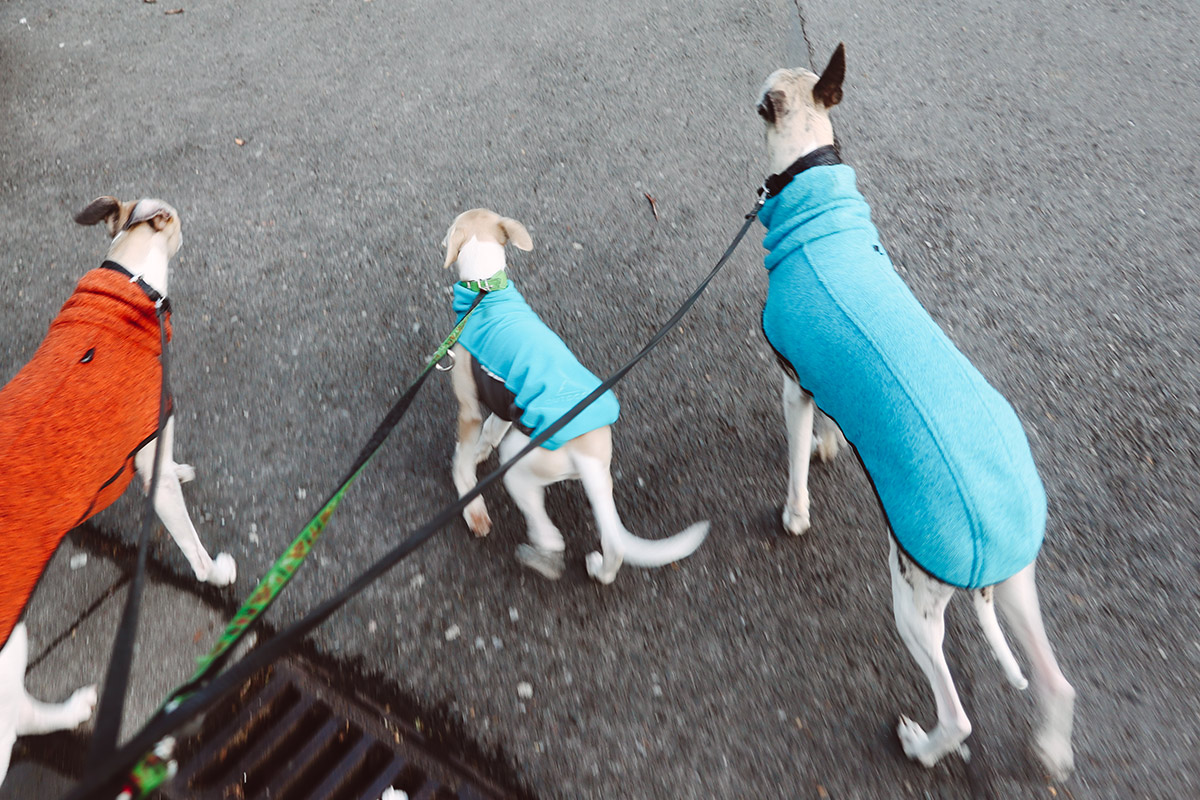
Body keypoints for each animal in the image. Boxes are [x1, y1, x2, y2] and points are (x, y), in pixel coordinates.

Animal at [0, 196, 238, 786]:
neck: (131, 280)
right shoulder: (153, 454)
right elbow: (191, 544)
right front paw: (217, 573)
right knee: (14, 718)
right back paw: (74, 710)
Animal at [441, 209, 705, 585]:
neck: (486, 287)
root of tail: (590, 452)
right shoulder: (506, 402)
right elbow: (492, 428)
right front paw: (480, 451)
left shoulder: (468, 406)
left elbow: (463, 458)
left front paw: (470, 501)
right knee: (612, 545)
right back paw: (599, 569)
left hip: (522, 463)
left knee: (550, 537)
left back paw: (539, 559)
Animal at [753, 47, 1075, 777]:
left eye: (763, 98)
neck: (812, 182)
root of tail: (986, 554)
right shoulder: (823, 377)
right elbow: (830, 425)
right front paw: (834, 442)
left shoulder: (793, 384)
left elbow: (795, 465)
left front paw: (795, 514)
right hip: (1017, 580)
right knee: (1055, 681)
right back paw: (1051, 746)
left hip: (915, 601)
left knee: (957, 713)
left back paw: (922, 745)